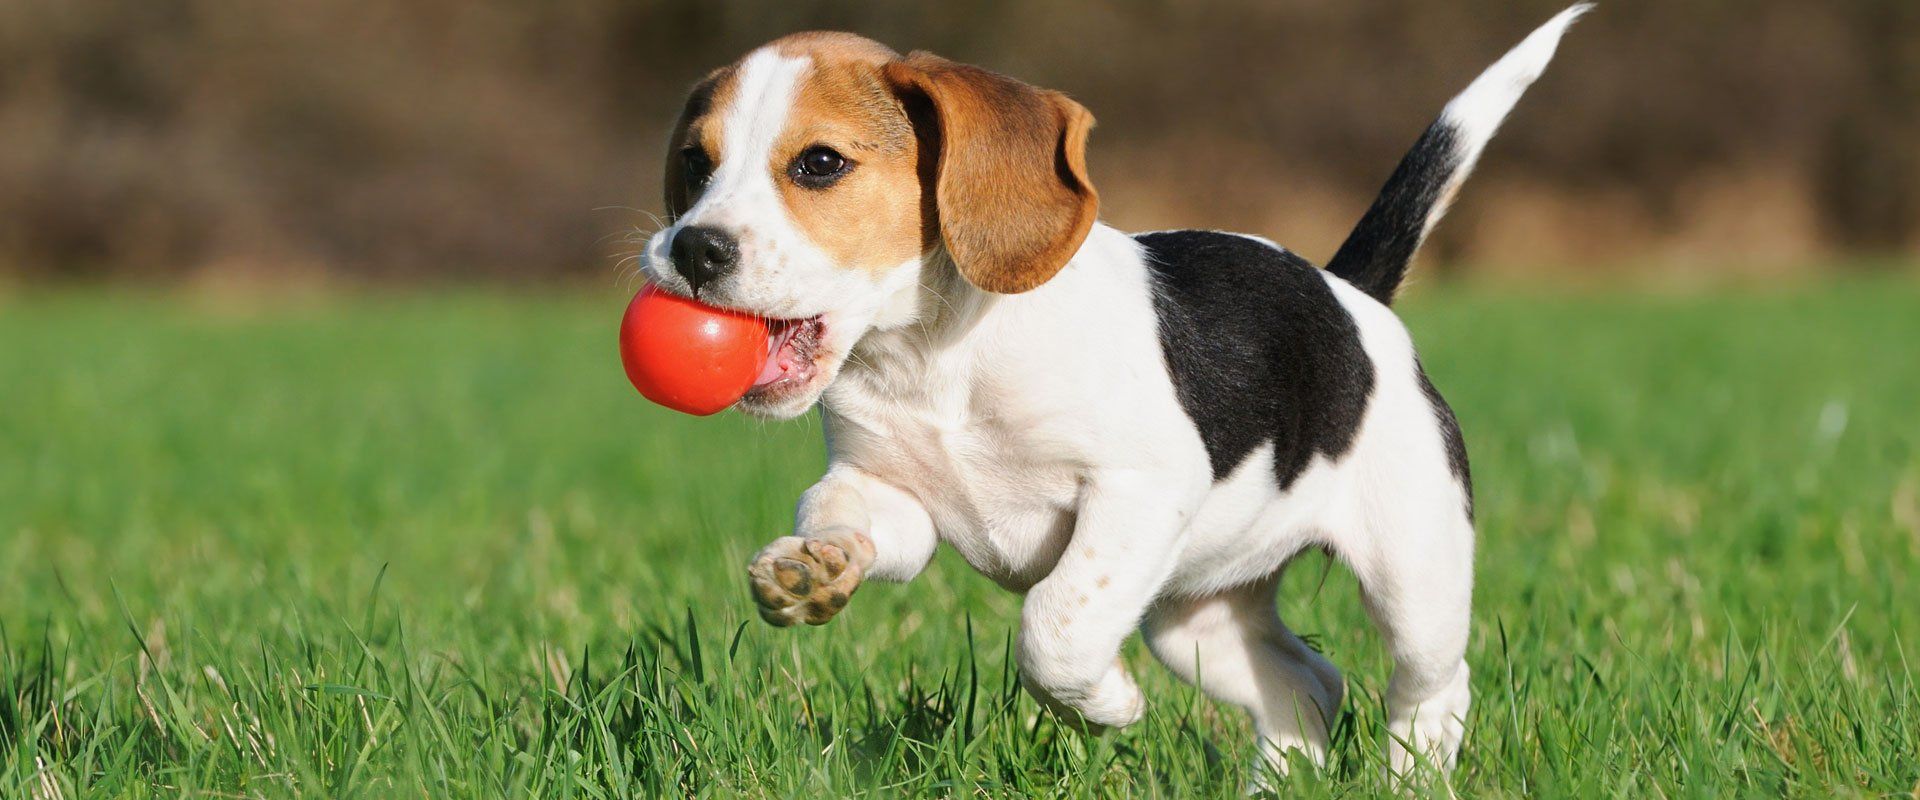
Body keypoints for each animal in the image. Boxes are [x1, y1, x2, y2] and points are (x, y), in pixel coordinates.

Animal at [645, 3, 1589, 771]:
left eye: (820, 163)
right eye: (694, 163)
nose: (690, 248)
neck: (932, 359)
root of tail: (1348, 293)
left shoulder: (1139, 490)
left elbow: (1055, 626)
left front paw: (1107, 705)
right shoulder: (891, 495)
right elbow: (842, 513)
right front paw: (812, 568)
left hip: (1414, 574)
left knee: (1431, 688)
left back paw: (1412, 776)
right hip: (1196, 619)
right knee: (1308, 688)